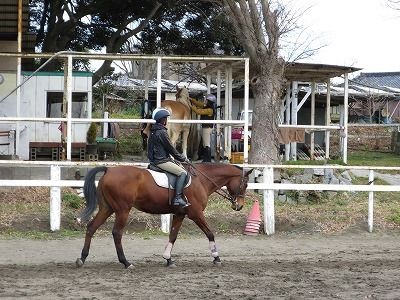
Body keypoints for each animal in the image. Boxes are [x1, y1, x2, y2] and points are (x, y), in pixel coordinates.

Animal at [75, 163, 253, 268]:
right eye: (245, 184)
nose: (239, 206)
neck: (201, 179)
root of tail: (109, 169)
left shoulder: (180, 214)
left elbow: (173, 236)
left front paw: (168, 259)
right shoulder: (196, 214)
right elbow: (210, 233)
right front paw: (216, 258)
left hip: (107, 208)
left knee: (91, 227)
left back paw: (82, 258)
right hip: (122, 210)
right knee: (117, 233)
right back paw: (126, 262)